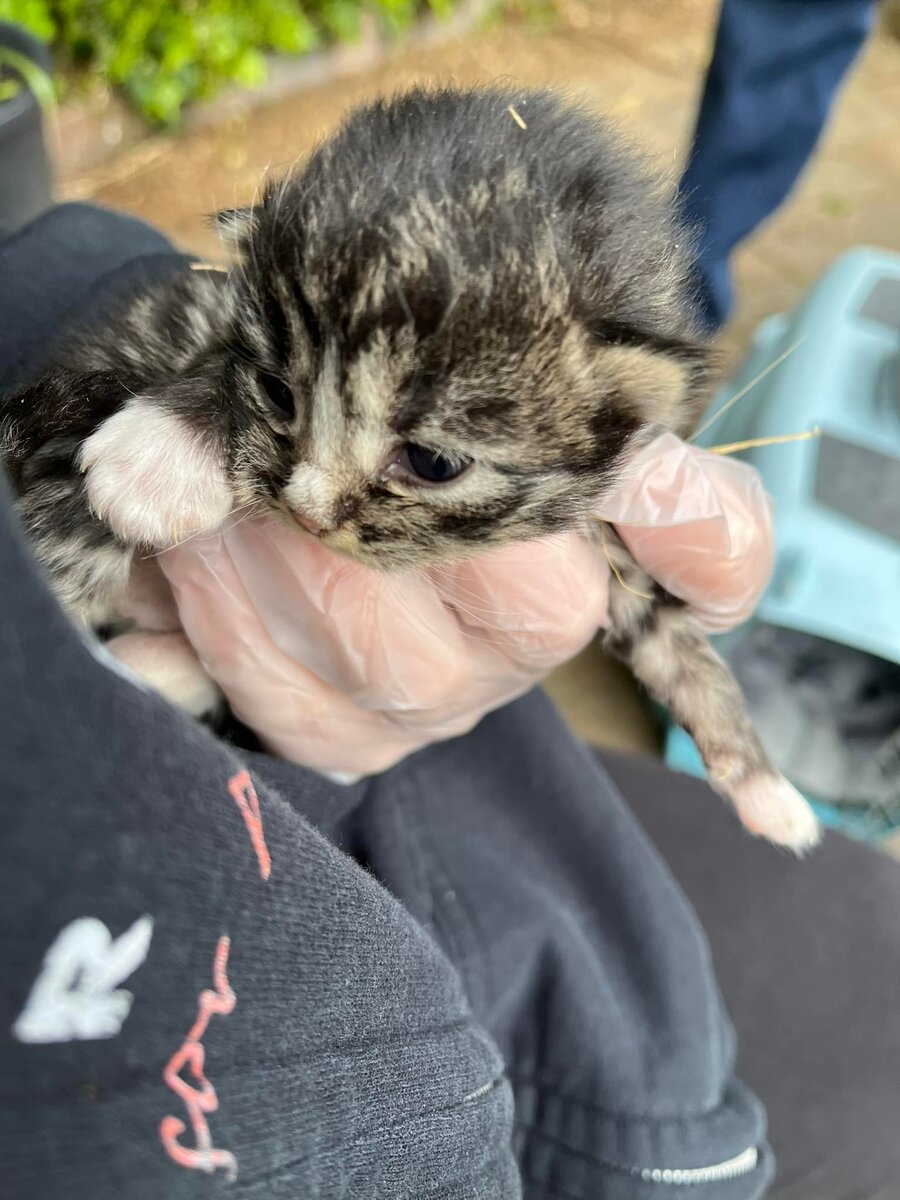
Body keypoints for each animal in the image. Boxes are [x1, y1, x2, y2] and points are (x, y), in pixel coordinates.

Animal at [0, 85, 820, 850]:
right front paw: (161, 452)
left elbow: (670, 635)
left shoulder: (607, 521)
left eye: (431, 461)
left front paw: (762, 783)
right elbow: (212, 352)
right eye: (277, 392)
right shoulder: (198, 313)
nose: (307, 514)